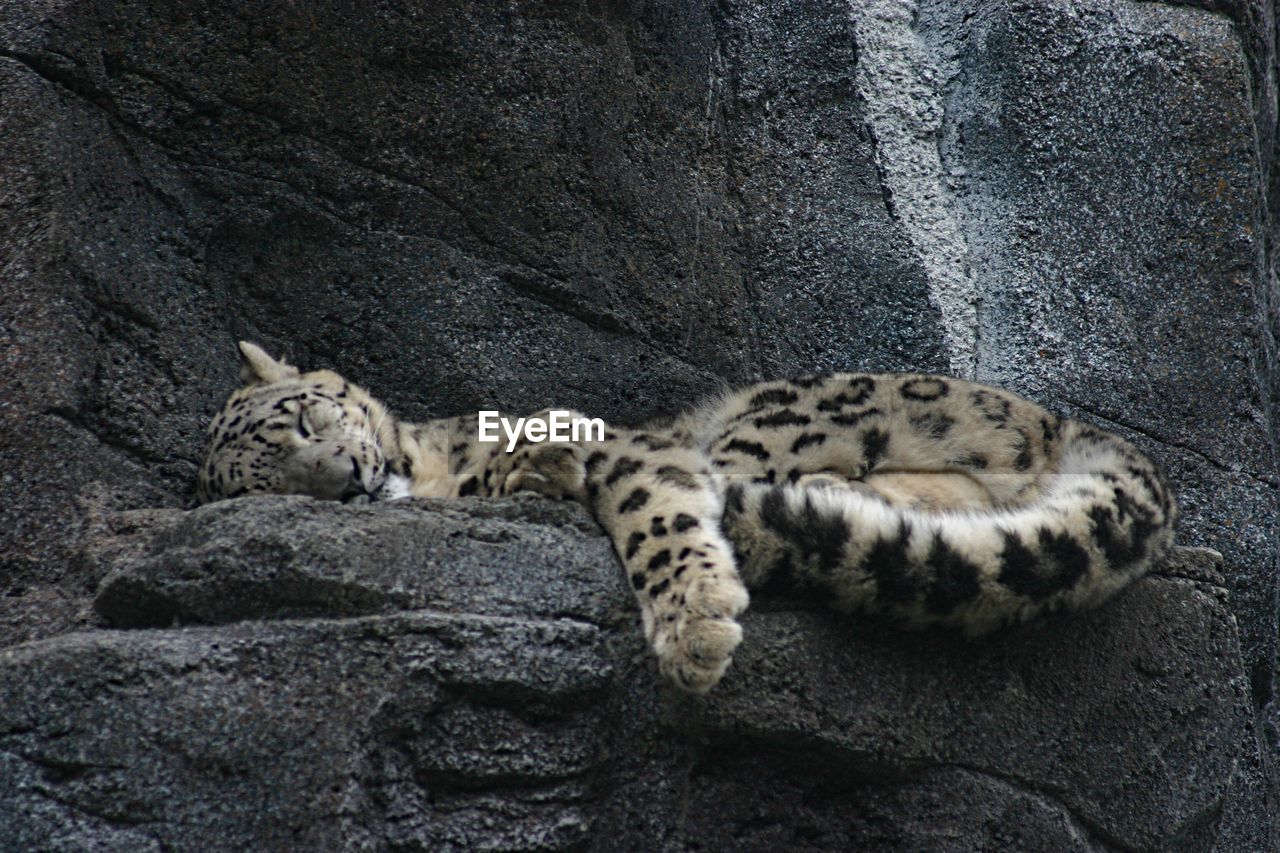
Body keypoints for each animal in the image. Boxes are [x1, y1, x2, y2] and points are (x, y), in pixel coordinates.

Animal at [194, 340, 1172, 691]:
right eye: (271, 485)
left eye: (304, 417)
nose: (348, 481)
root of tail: (1069, 426)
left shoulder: (625, 449)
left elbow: (650, 508)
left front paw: (694, 630)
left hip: (777, 412)